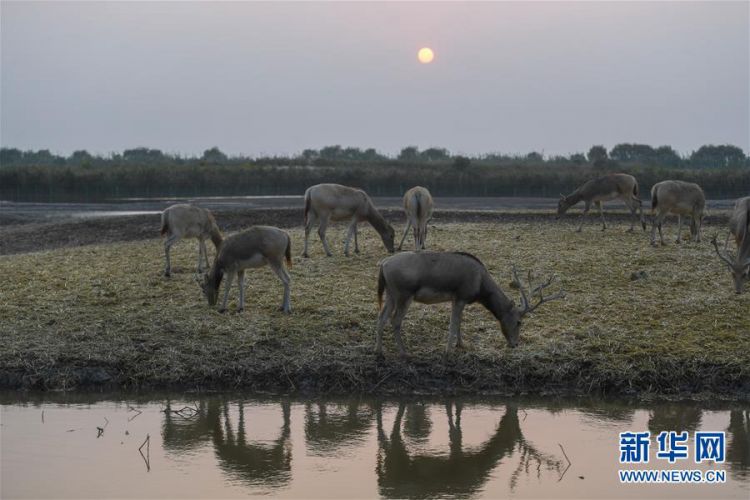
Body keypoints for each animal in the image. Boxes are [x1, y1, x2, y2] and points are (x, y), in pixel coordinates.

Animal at [376, 250, 564, 356]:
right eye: (519, 322)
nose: (515, 344)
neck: (480, 288)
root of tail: (383, 264)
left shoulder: (459, 299)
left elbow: (459, 322)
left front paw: (461, 344)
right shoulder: (461, 295)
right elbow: (453, 324)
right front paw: (448, 351)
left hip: (391, 293)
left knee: (381, 317)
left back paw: (378, 351)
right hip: (404, 293)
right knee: (395, 320)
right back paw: (404, 352)